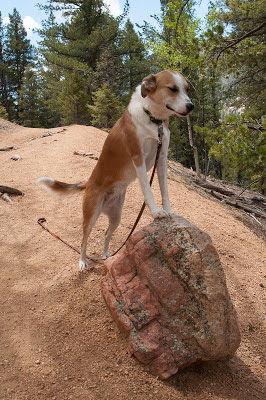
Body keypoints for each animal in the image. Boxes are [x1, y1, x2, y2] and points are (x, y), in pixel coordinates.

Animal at [37, 69, 193, 270]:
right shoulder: (138, 159)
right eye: (173, 89)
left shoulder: (162, 158)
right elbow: (148, 190)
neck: (153, 119)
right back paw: (83, 261)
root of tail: (89, 182)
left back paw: (105, 255)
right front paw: (156, 212)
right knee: (83, 240)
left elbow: (164, 190)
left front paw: (169, 210)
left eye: (187, 89)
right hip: (91, 215)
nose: (191, 106)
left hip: (116, 217)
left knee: (106, 234)